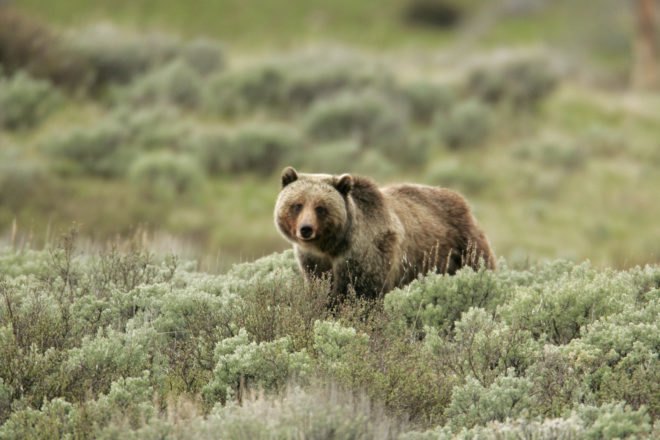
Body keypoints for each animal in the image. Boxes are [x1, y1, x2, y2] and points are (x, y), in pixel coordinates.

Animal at [274, 166, 495, 300]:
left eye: (321, 207)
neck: (332, 246)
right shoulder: (314, 261)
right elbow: (321, 286)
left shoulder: (368, 253)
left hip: (462, 246)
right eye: (297, 205)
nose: (306, 229)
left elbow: (362, 292)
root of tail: (461, 199)